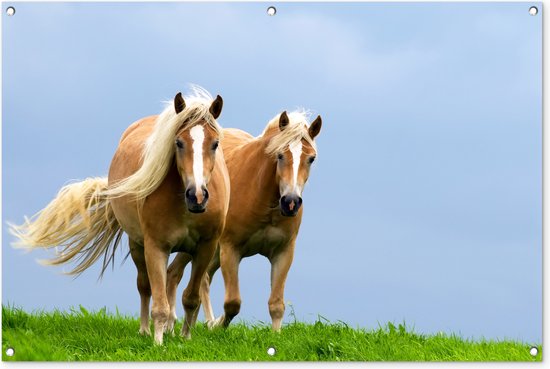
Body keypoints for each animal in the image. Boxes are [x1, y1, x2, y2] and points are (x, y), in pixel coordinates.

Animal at [10, 87, 231, 344]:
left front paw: (185, 339)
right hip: (137, 244)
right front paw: (158, 344)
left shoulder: (205, 247)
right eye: (178, 142)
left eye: (215, 144)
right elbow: (159, 304)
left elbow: (191, 298)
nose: (197, 196)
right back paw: (145, 330)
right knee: (144, 286)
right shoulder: (156, 247)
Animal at [168, 110, 324, 330]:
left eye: (311, 158)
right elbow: (232, 303)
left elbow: (276, 305)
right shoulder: (230, 249)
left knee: (190, 275)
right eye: (279, 155)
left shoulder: (284, 252)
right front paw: (218, 326)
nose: (291, 202)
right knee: (183, 275)